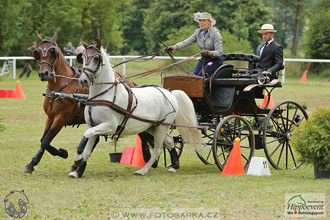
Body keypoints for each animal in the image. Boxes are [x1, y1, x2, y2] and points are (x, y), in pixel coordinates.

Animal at [22, 33, 135, 177]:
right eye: (39, 52)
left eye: (53, 52)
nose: (43, 73)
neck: (61, 86)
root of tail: (127, 80)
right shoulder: (50, 118)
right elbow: (43, 140)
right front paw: (32, 164)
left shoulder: (60, 119)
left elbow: (46, 141)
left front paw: (62, 153)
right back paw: (77, 163)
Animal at [68, 39, 201, 177]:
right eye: (82, 57)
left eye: (96, 58)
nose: (83, 80)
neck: (104, 94)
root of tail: (170, 92)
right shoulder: (92, 125)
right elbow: (87, 149)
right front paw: (77, 169)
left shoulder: (109, 126)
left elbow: (86, 136)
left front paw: (76, 160)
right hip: (153, 127)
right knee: (169, 141)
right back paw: (174, 165)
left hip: (162, 127)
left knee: (158, 150)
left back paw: (143, 170)